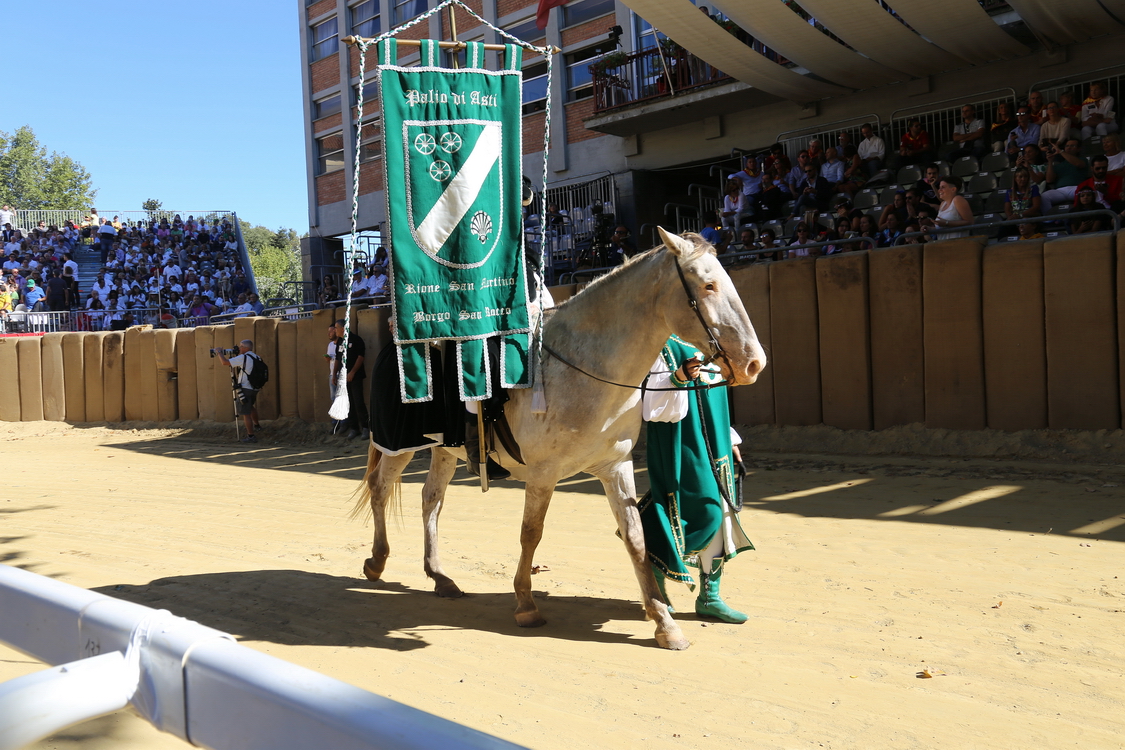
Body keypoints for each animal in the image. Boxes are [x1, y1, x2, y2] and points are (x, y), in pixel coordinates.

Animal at [353, 229, 765, 652]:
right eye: (708, 285)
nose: (753, 363)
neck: (582, 367)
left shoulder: (615, 467)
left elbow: (635, 537)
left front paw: (664, 622)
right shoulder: (543, 472)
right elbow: (531, 533)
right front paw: (525, 604)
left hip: (444, 450)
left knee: (430, 500)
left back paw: (439, 576)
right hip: (398, 444)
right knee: (381, 487)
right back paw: (377, 561)